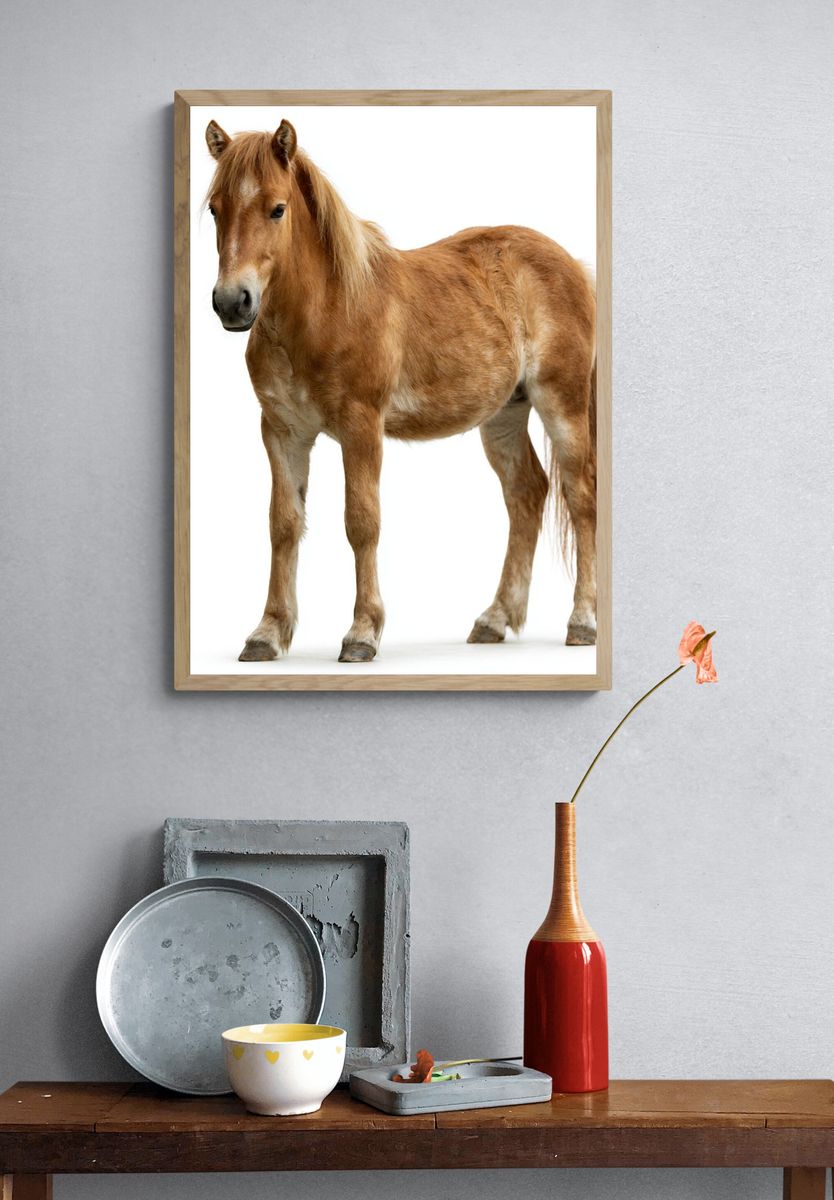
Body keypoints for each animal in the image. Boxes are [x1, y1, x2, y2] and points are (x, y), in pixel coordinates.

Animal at [204, 118, 597, 663]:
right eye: (214, 209)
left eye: (277, 208)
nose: (232, 303)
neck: (326, 310)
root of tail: (574, 265)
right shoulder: (282, 432)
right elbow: (283, 525)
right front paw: (267, 633)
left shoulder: (361, 427)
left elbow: (362, 522)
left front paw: (361, 634)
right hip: (503, 414)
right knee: (526, 494)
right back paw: (494, 620)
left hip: (562, 403)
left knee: (580, 497)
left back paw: (582, 622)